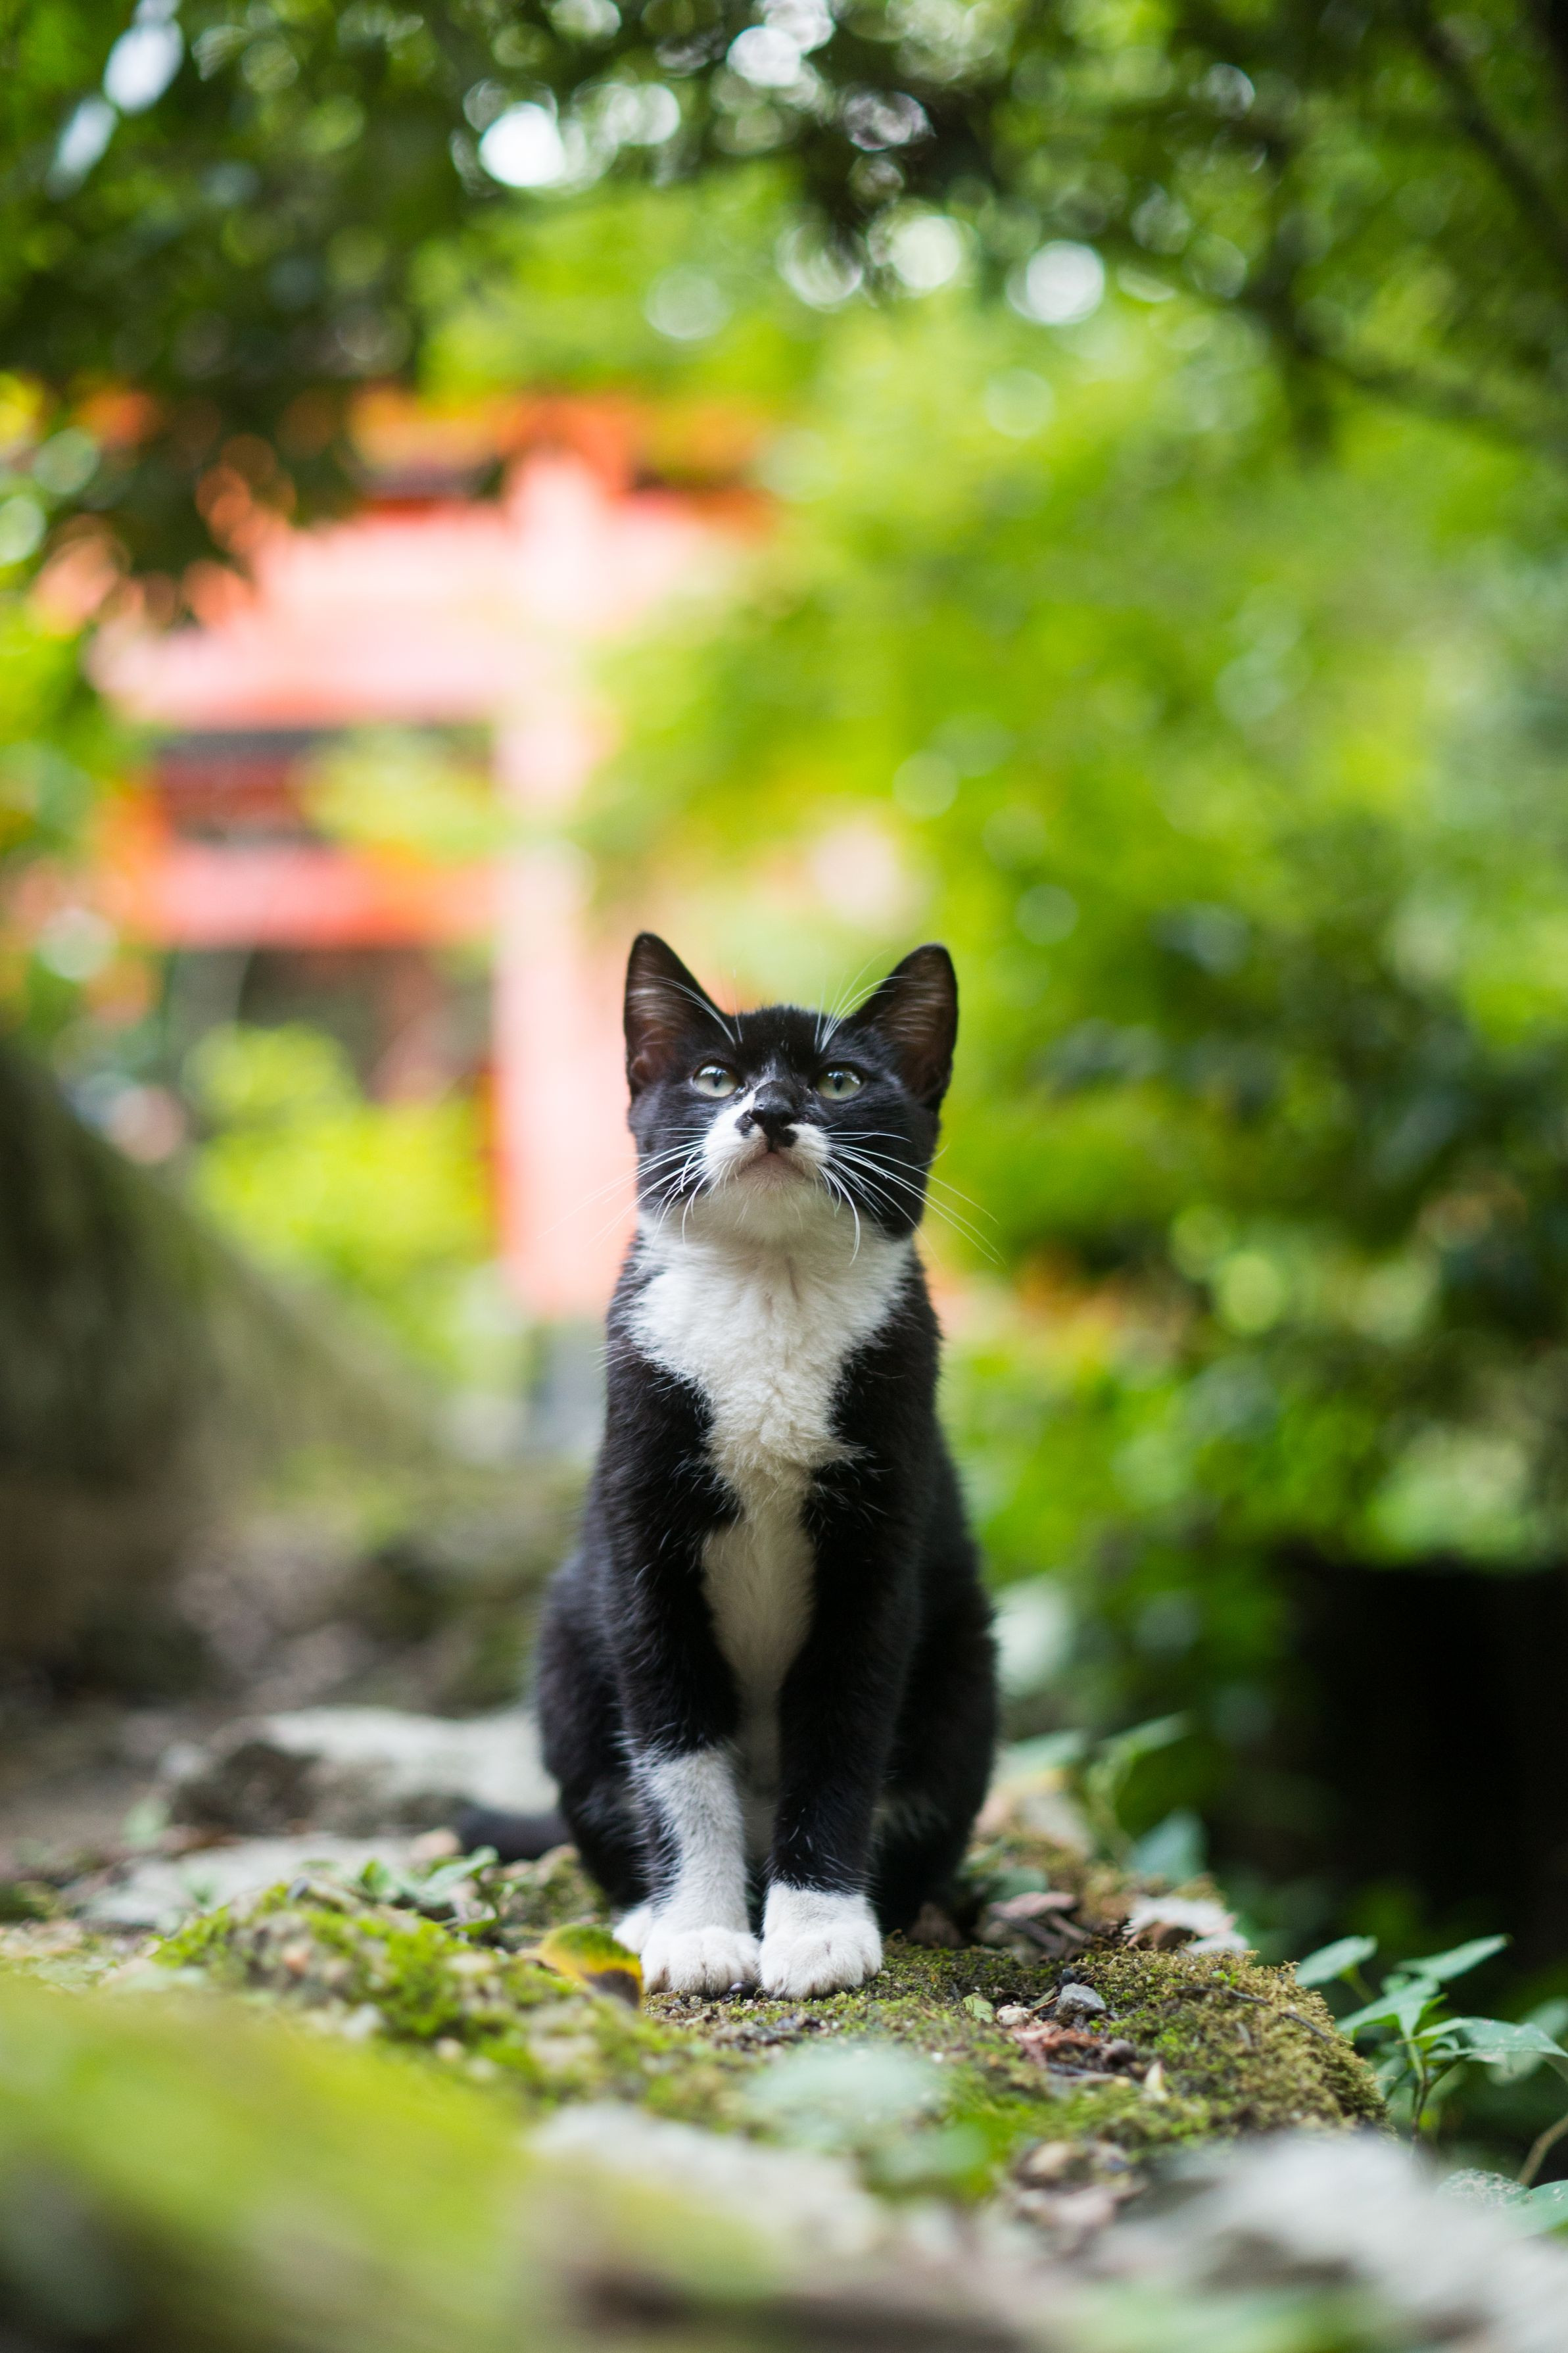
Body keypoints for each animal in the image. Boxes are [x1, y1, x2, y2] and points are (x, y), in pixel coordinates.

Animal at [474, 933, 997, 1999]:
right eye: (714, 1077)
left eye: (840, 1080)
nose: (770, 1111)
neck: (770, 1292)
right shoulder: (641, 1539)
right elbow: (677, 1753)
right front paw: (699, 1931)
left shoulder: (878, 1551)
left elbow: (842, 1733)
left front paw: (818, 1930)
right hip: (566, 1646)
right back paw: (644, 1911)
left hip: (967, 1670)